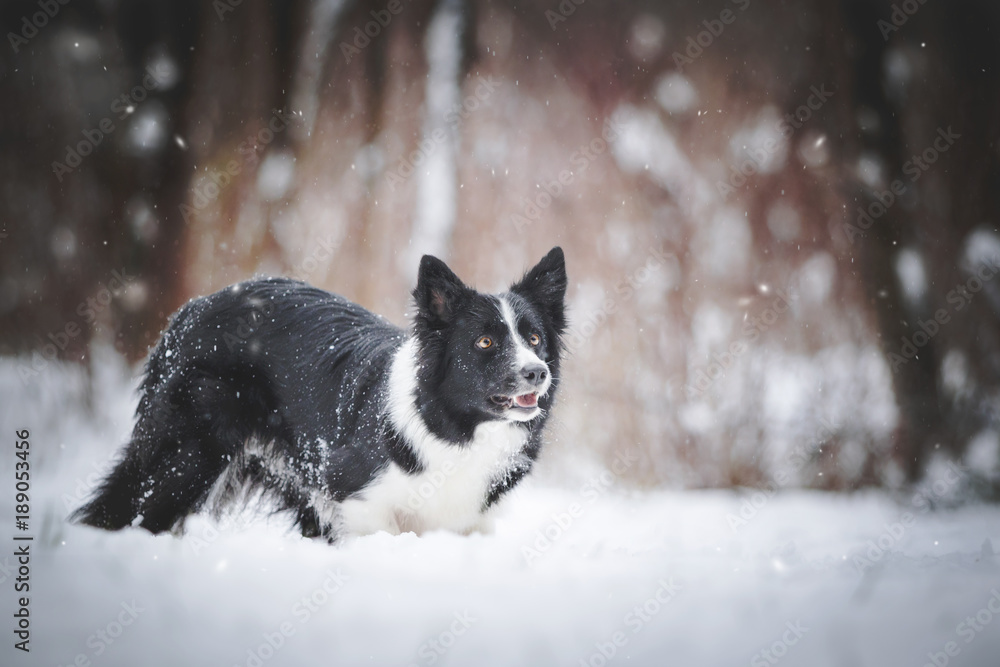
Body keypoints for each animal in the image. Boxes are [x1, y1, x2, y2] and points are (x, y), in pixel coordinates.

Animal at [74, 248, 568, 540]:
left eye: (535, 338)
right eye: (484, 342)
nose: (537, 373)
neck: (454, 427)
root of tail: (189, 311)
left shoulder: (471, 520)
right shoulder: (358, 499)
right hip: (191, 451)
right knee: (131, 505)